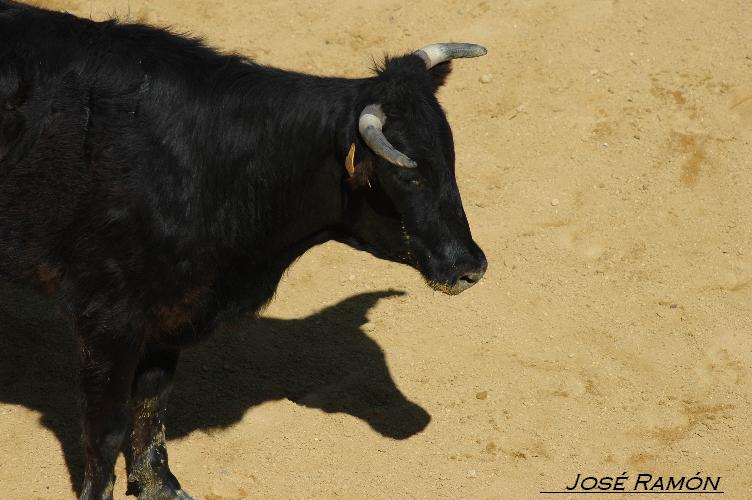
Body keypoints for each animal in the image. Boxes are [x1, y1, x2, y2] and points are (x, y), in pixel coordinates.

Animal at [0, 1, 488, 498]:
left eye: (449, 157)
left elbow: (153, 401)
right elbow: (107, 426)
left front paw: (161, 484)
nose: (471, 266)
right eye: (409, 175)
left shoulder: (171, 311)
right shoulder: (108, 318)